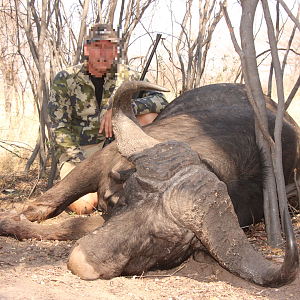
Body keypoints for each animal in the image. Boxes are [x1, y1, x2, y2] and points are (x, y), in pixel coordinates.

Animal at [0, 81, 300, 288]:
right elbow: (49, 202)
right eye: (127, 200)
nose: (79, 262)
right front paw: (12, 219)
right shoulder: (104, 158)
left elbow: (73, 226)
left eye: (159, 239)